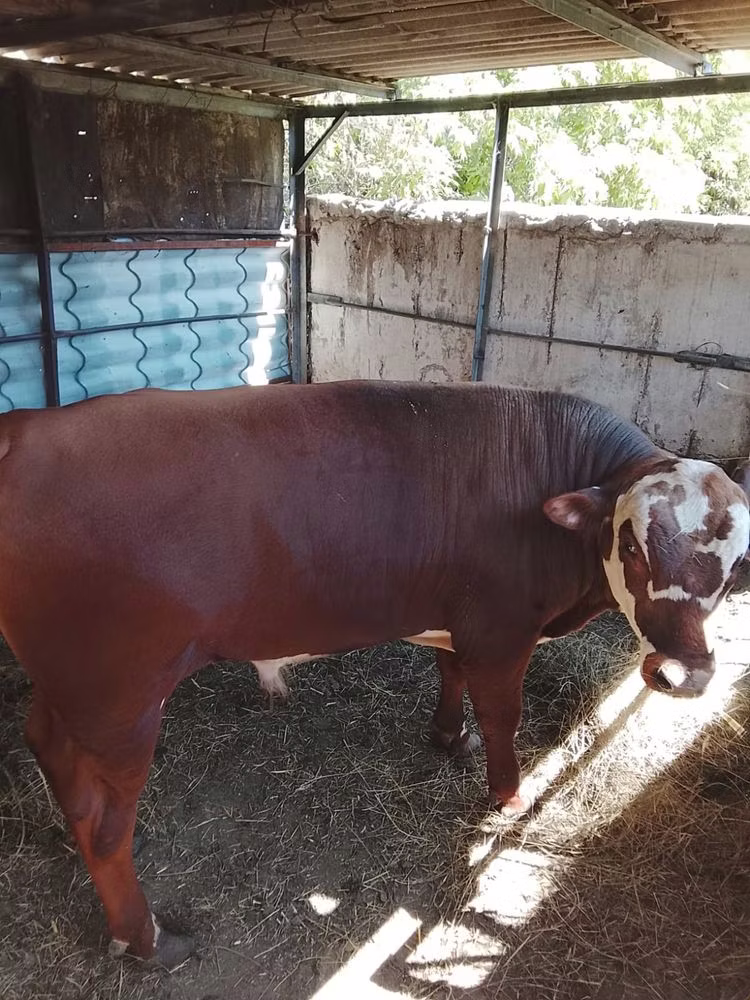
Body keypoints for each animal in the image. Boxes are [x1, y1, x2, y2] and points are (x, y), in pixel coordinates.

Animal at [0, 380, 747, 968]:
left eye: (736, 562)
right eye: (633, 543)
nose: (684, 672)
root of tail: (29, 428)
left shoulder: (457, 618)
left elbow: (450, 674)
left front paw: (448, 736)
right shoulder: (502, 630)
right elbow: (502, 714)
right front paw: (508, 795)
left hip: (71, 689)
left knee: (49, 749)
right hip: (121, 702)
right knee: (107, 831)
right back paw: (147, 939)